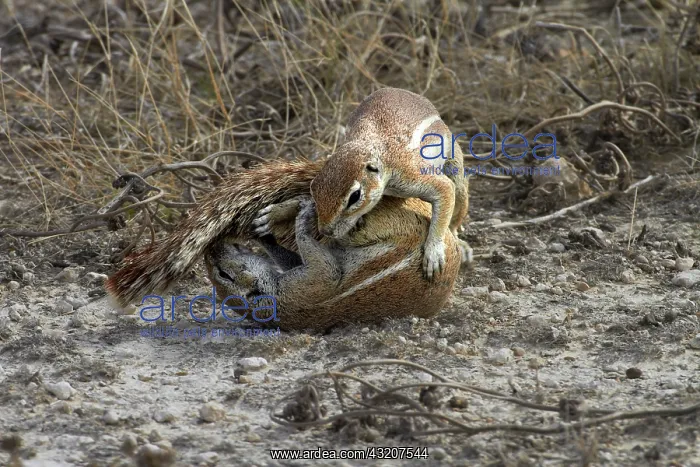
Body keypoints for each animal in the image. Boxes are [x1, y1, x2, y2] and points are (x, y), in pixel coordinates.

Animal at [204, 190, 461, 332]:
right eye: (223, 274)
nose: (210, 251)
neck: (268, 299)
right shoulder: (309, 283)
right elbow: (324, 265)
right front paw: (303, 217)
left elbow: (290, 257)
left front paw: (262, 233)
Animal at [308, 87, 471, 280]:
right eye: (314, 190)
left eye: (355, 196)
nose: (325, 231)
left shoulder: (412, 174)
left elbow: (445, 191)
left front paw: (433, 253)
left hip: (455, 169)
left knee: (455, 214)